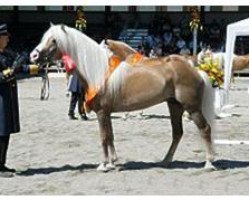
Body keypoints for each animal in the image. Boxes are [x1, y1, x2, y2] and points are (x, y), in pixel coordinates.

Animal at [29, 24, 216, 172]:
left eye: (54, 40)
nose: (33, 56)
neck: (98, 71)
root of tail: (194, 69)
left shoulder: (102, 113)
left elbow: (104, 137)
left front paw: (104, 165)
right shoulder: (107, 113)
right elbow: (110, 136)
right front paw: (113, 162)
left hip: (192, 108)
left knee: (205, 129)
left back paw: (209, 163)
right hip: (174, 105)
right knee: (177, 133)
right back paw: (166, 160)